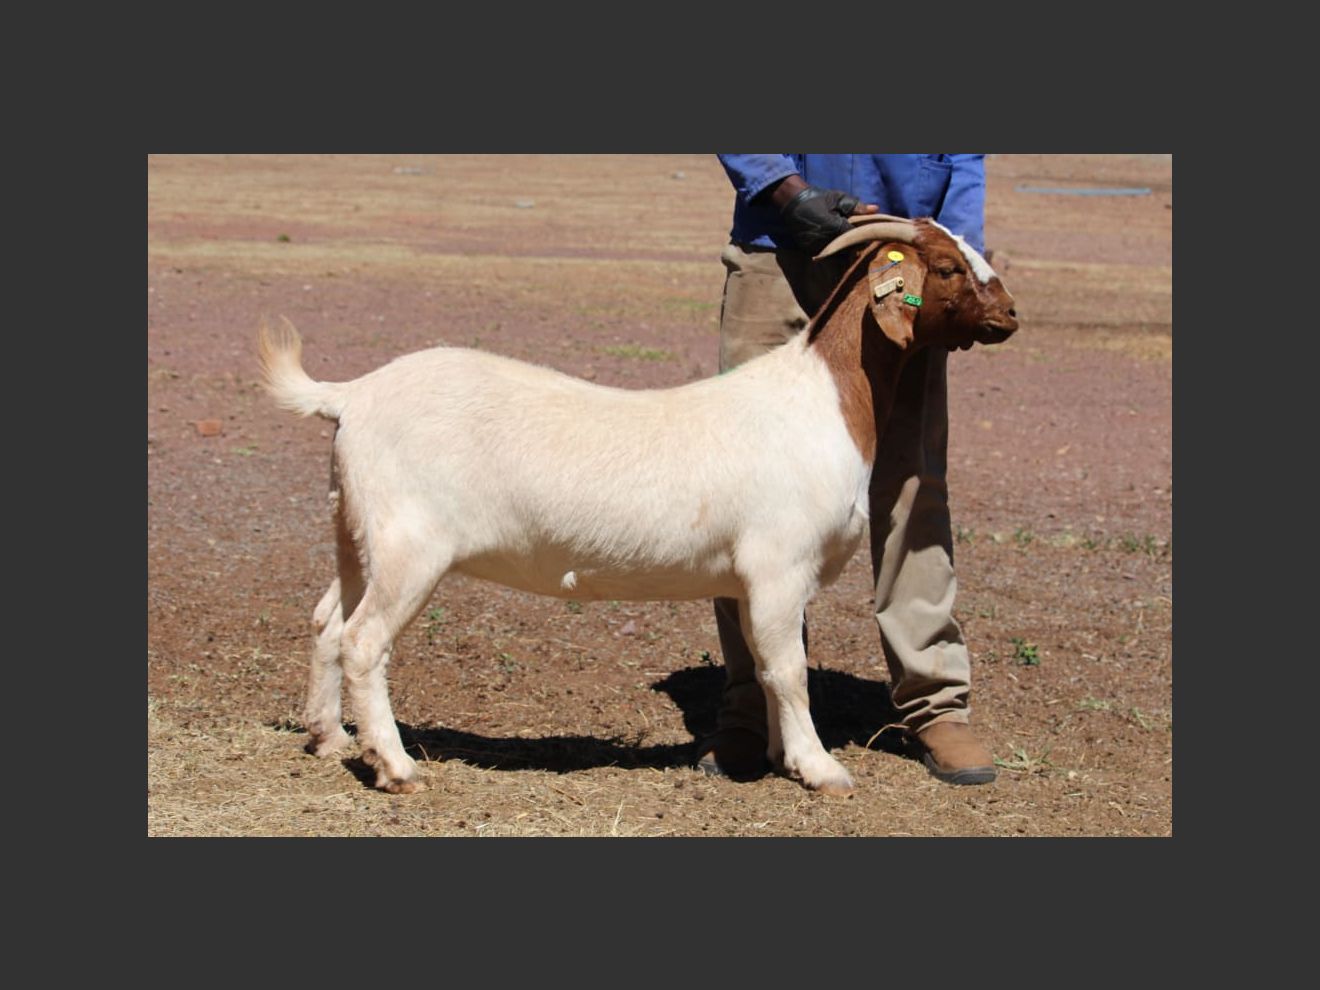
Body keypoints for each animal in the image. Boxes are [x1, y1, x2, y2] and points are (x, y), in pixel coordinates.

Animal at [258, 215, 1018, 797]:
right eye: (948, 266)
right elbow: (789, 671)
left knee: (328, 622)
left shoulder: (752, 582)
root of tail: (351, 395)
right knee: (363, 642)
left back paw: (328, 737)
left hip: (357, 532)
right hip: (410, 545)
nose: (1011, 314)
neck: (825, 400)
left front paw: (779, 757)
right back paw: (395, 766)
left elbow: (768, 667)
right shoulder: (779, 566)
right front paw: (819, 768)